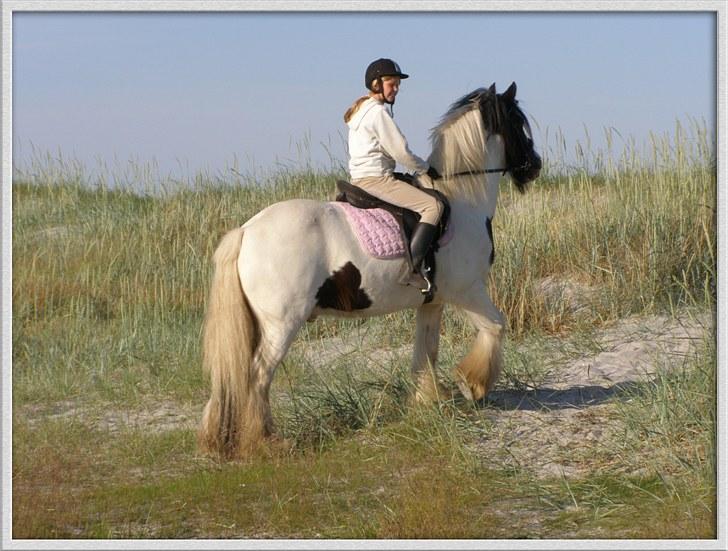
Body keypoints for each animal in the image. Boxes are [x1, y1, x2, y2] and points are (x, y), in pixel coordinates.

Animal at [199, 82, 540, 460]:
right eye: (517, 123)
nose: (535, 166)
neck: (462, 201)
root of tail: (246, 231)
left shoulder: (433, 302)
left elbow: (426, 351)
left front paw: (428, 400)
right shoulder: (468, 291)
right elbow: (495, 326)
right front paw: (472, 385)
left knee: (234, 377)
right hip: (281, 325)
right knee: (257, 376)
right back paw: (266, 441)